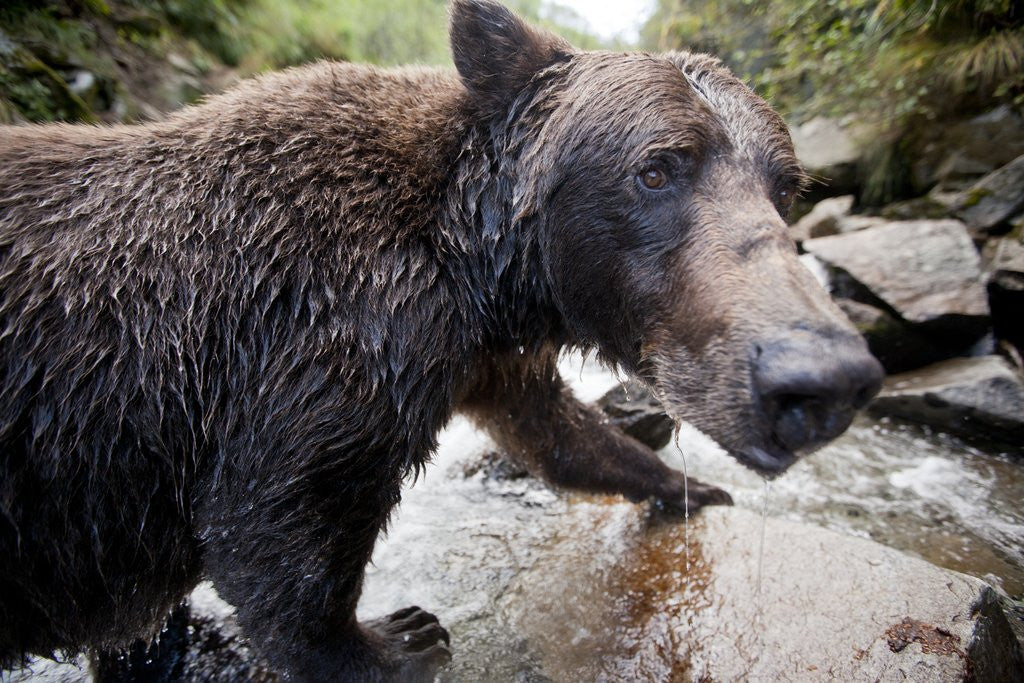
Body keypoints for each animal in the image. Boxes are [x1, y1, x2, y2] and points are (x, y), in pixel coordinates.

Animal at [0, 0, 884, 680]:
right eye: (659, 167)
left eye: (786, 185)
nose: (822, 378)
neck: (473, 264)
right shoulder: (322, 334)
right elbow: (278, 518)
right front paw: (396, 639)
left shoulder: (479, 355)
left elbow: (558, 433)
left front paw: (684, 484)